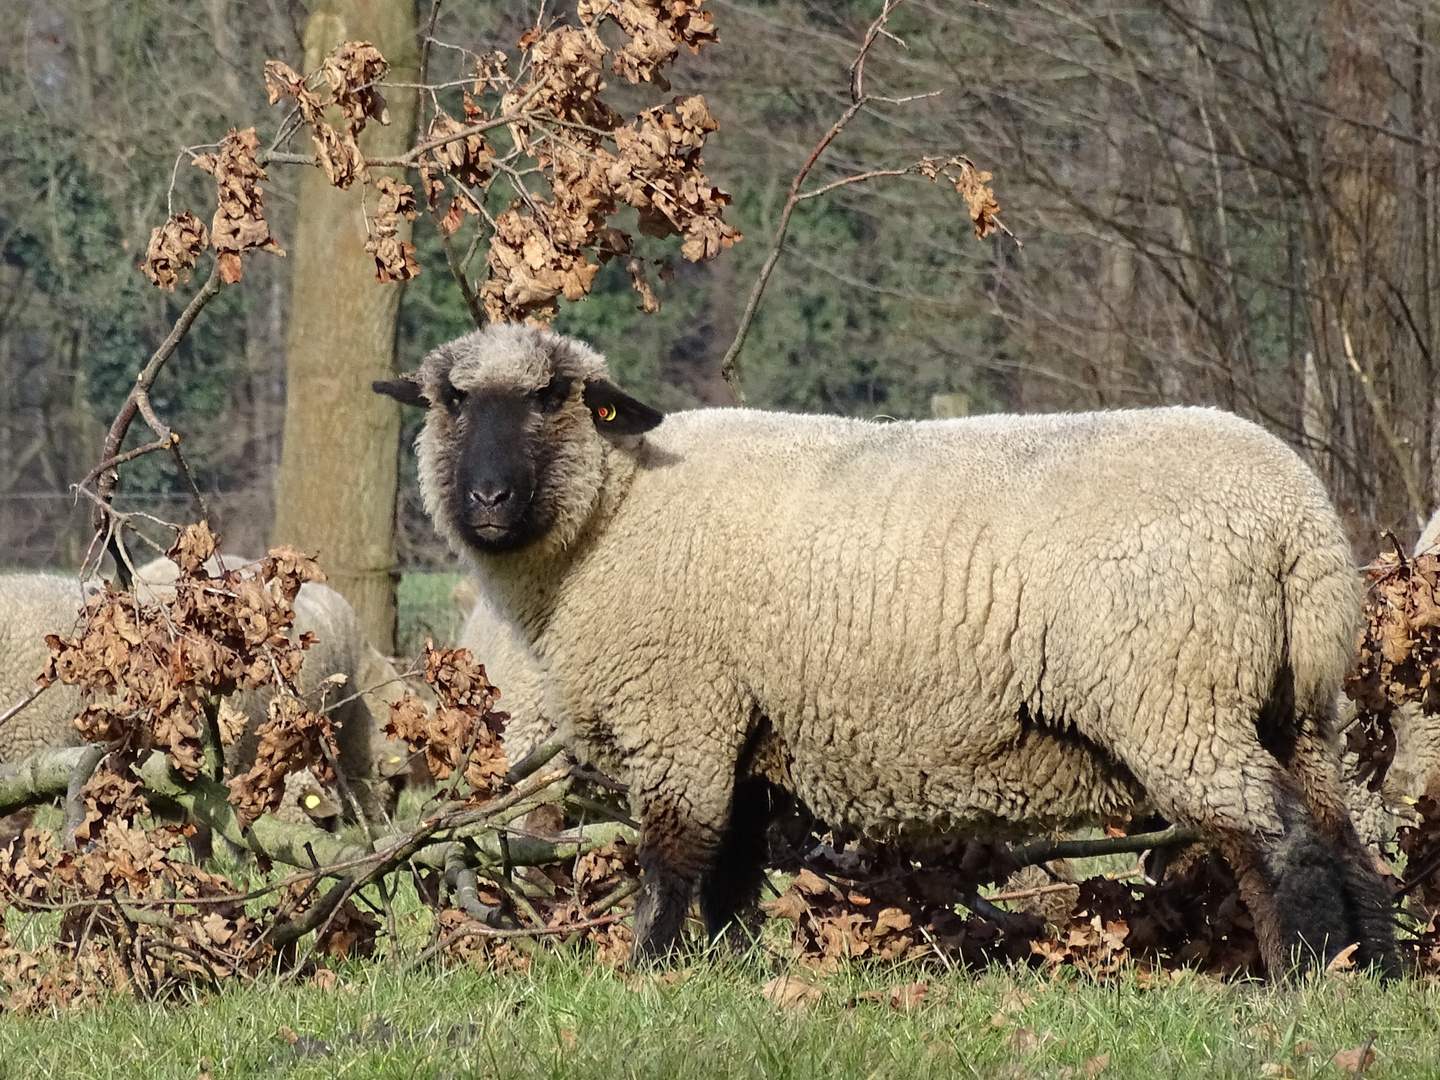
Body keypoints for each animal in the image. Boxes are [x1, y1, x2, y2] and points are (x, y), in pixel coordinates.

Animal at [377, 325, 1399, 979]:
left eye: (555, 398)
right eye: (449, 402)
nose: (489, 501)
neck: (612, 512)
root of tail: (1299, 521)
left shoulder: (682, 711)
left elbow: (674, 857)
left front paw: (648, 973)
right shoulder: (744, 722)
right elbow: (732, 866)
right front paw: (724, 976)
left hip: (1176, 694)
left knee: (1277, 837)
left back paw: (1305, 977)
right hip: (1296, 704)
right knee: (1344, 836)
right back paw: (1373, 971)